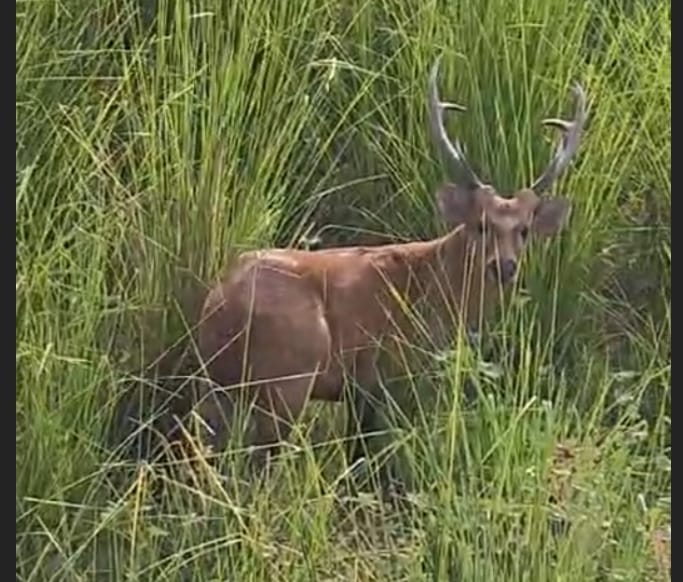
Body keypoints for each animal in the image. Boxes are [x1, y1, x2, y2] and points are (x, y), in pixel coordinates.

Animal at [193, 55, 587, 482]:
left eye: (524, 230)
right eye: (480, 224)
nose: (505, 266)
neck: (435, 290)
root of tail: (218, 305)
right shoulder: (381, 375)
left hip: (219, 385)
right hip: (289, 376)